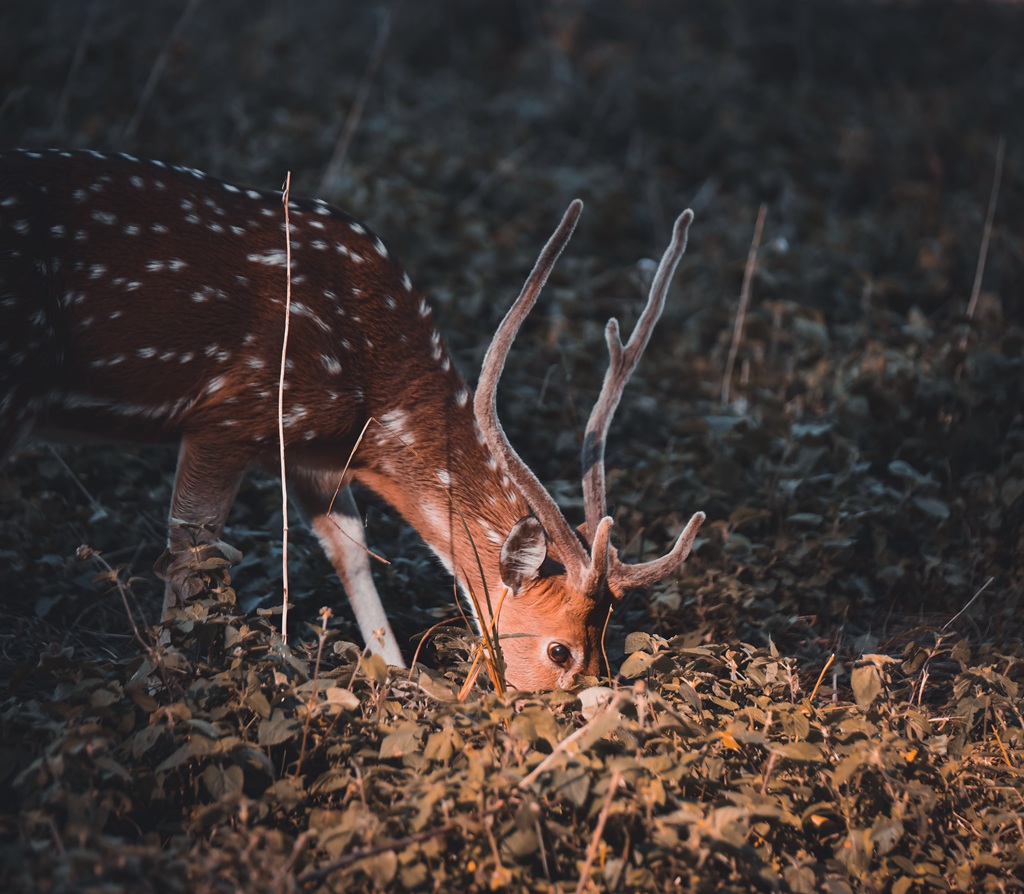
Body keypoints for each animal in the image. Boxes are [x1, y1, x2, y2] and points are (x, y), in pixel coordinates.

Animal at [0, 149, 704, 688]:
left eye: (608, 647)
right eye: (559, 650)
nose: (575, 717)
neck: (374, 390)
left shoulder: (309, 450)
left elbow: (353, 552)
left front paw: (398, 678)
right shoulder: (231, 414)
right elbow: (190, 551)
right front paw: (175, 681)